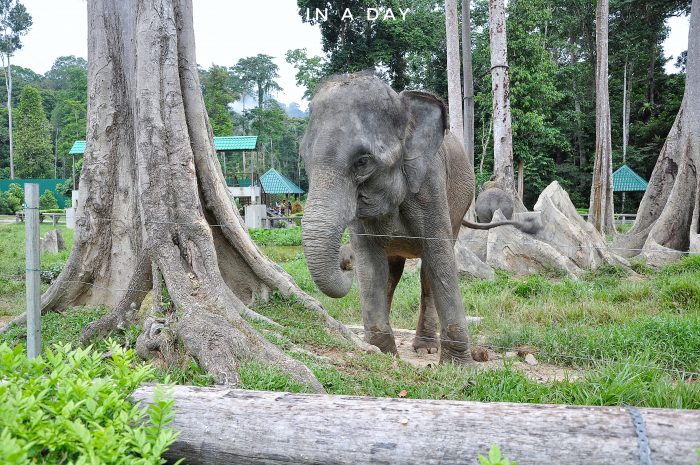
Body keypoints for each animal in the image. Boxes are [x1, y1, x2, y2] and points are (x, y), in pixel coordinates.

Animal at [300, 71, 536, 362]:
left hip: (459, 205)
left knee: (426, 273)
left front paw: (460, 365)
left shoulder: (431, 184)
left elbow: (439, 256)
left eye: (363, 162)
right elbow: (369, 262)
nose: (344, 264)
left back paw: (426, 348)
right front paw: (381, 354)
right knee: (391, 272)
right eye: (303, 158)